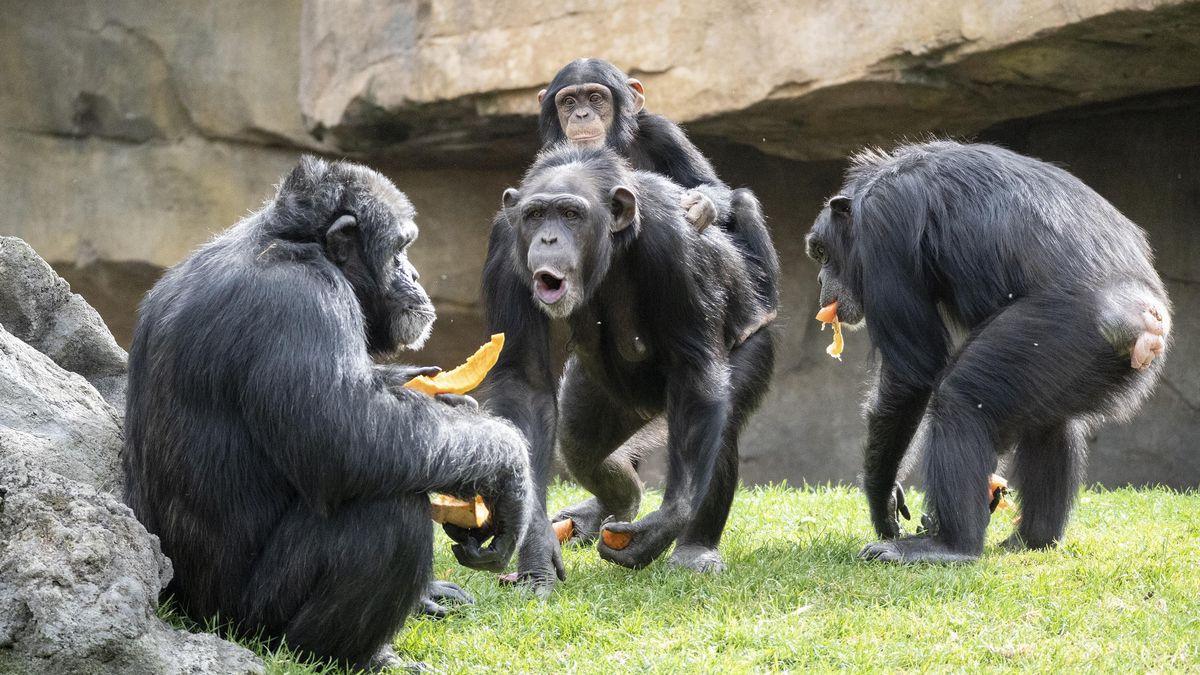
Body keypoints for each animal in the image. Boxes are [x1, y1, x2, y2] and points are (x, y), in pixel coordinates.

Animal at [124, 157, 532, 667]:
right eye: (400, 250)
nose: (417, 275)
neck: (299, 245)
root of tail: (179, 604)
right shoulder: (300, 304)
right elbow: (348, 435)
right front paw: (509, 469)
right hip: (249, 619)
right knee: (389, 508)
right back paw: (359, 657)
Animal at [463, 145, 772, 583]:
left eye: (570, 214)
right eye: (535, 214)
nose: (548, 237)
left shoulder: (674, 243)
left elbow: (695, 367)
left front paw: (663, 524)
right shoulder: (505, 248)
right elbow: (524, 380)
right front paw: (535, 544)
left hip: (752, 339)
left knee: (718, 422)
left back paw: (694, 548)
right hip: (599, 395)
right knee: (581, 447)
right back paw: (620, 502)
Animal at [537, 57, 777, 309]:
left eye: (595, 98)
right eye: (568, 102)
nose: (581, 115)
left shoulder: (665, 133)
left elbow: (710, 184)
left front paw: (700, 204)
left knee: (742, 201)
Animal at [806, 141, 1171, 562]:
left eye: (822, 252)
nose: (820, 279)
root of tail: (1148, 323)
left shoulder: (883, 231)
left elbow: (911, 373)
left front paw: (882, 496)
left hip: (1063, 328)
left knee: (960, 400)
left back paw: (948, 545)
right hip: (1076, 359)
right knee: (1051, 424)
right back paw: (1032, 539)